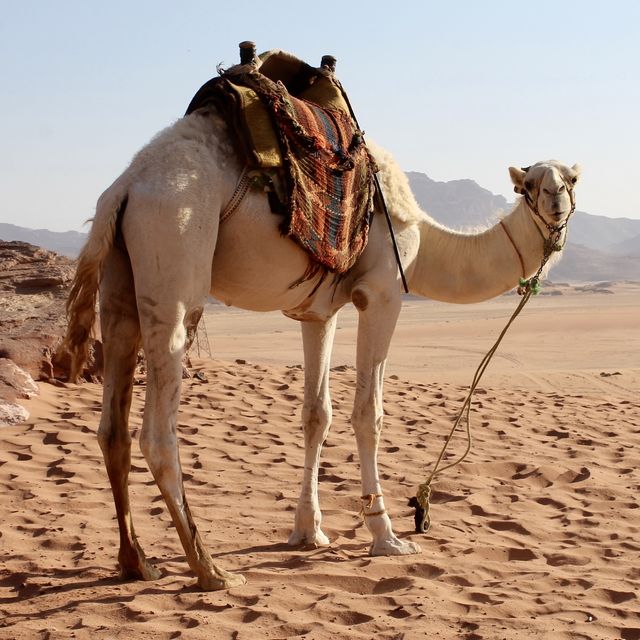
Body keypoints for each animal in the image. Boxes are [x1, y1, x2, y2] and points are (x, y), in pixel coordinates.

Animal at [65, 105, 580, 592]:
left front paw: (308, 532)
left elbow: (317, 414)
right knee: (157, 432)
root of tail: (125, 187)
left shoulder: (318, 312)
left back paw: (137, 562)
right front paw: (387, 537)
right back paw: (210, 570)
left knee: (112, 426)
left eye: (571, 179)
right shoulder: (383, 292)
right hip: (174, 253)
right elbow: (368, 414)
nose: (556, 202)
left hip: (120, 285)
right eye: (529, 184)